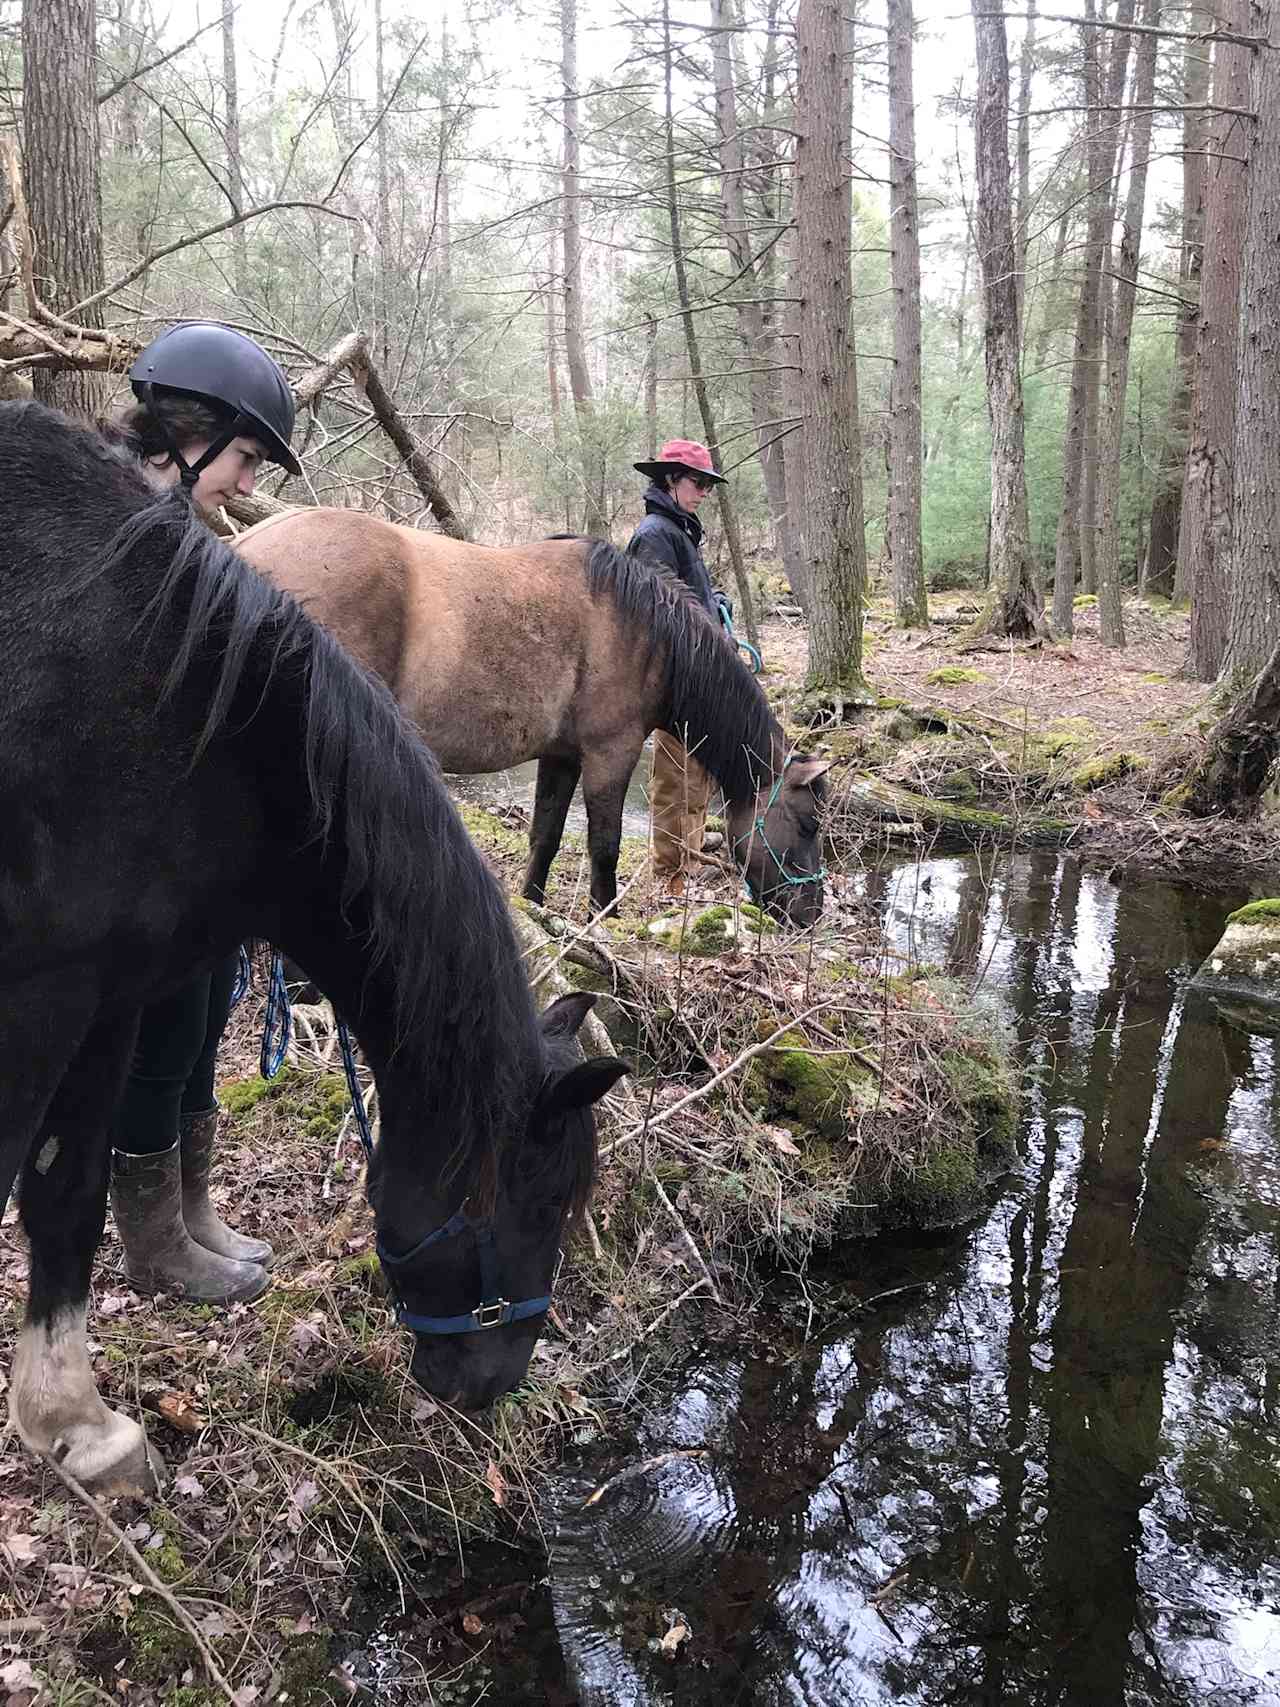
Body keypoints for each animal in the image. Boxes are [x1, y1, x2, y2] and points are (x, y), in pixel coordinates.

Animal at [0, 402, 628, 1495]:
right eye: (547, 1207)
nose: (493, 1385)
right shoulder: (37, 1000)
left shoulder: (105, 999)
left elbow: (66, 1193)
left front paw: (77, 1424)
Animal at [237, 508, 832, 921]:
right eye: (807, 824)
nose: (811, 914)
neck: (648, 632)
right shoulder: (610, 753)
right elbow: (604, 845)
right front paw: (604, 920)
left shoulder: (561, 755)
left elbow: (544, 836)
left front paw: (536, 910)